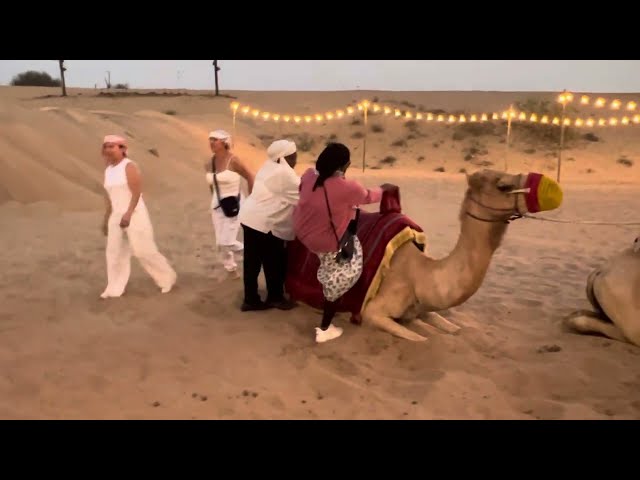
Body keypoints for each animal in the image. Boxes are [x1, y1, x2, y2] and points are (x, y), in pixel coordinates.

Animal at [360, 169, 564, 342]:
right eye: (503, 186)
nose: (552, 188)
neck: (419, 275)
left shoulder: (422, 309)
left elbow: (456, 330)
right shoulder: (371, 311)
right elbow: (422, 339)